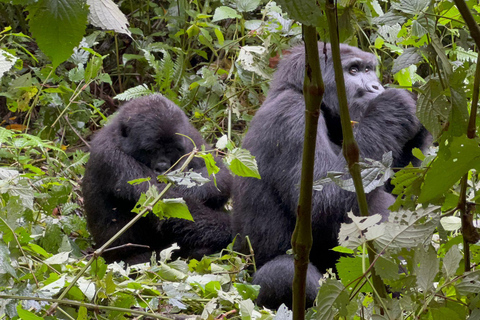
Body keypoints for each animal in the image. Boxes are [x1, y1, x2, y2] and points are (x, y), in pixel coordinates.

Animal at [83, 95, 233, 264]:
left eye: (171, 150)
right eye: (151, 150)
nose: (162, 167)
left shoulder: (190, 136)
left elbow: (220, 174)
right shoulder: (112, 158)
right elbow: (163, 203)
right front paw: (230, 228)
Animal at [232, 43, 432, 310]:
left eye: (369, 69)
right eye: (353, 70)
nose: (376, 87)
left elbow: (400, 191)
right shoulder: (291, 116)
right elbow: (321, 205)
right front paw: (392, 108)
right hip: (247, 288)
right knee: (284, 274)